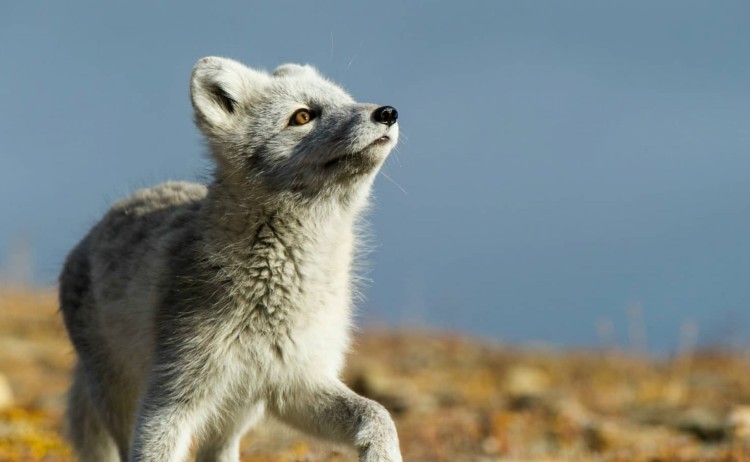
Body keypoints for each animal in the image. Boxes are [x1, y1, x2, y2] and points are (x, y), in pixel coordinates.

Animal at [58, 56, 402, 462]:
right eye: (302, 116)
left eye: (347, 100)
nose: (387, 113)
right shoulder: (171, 395)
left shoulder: (295, 382)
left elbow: (377, 412)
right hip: (125, 397)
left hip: (238, 410)